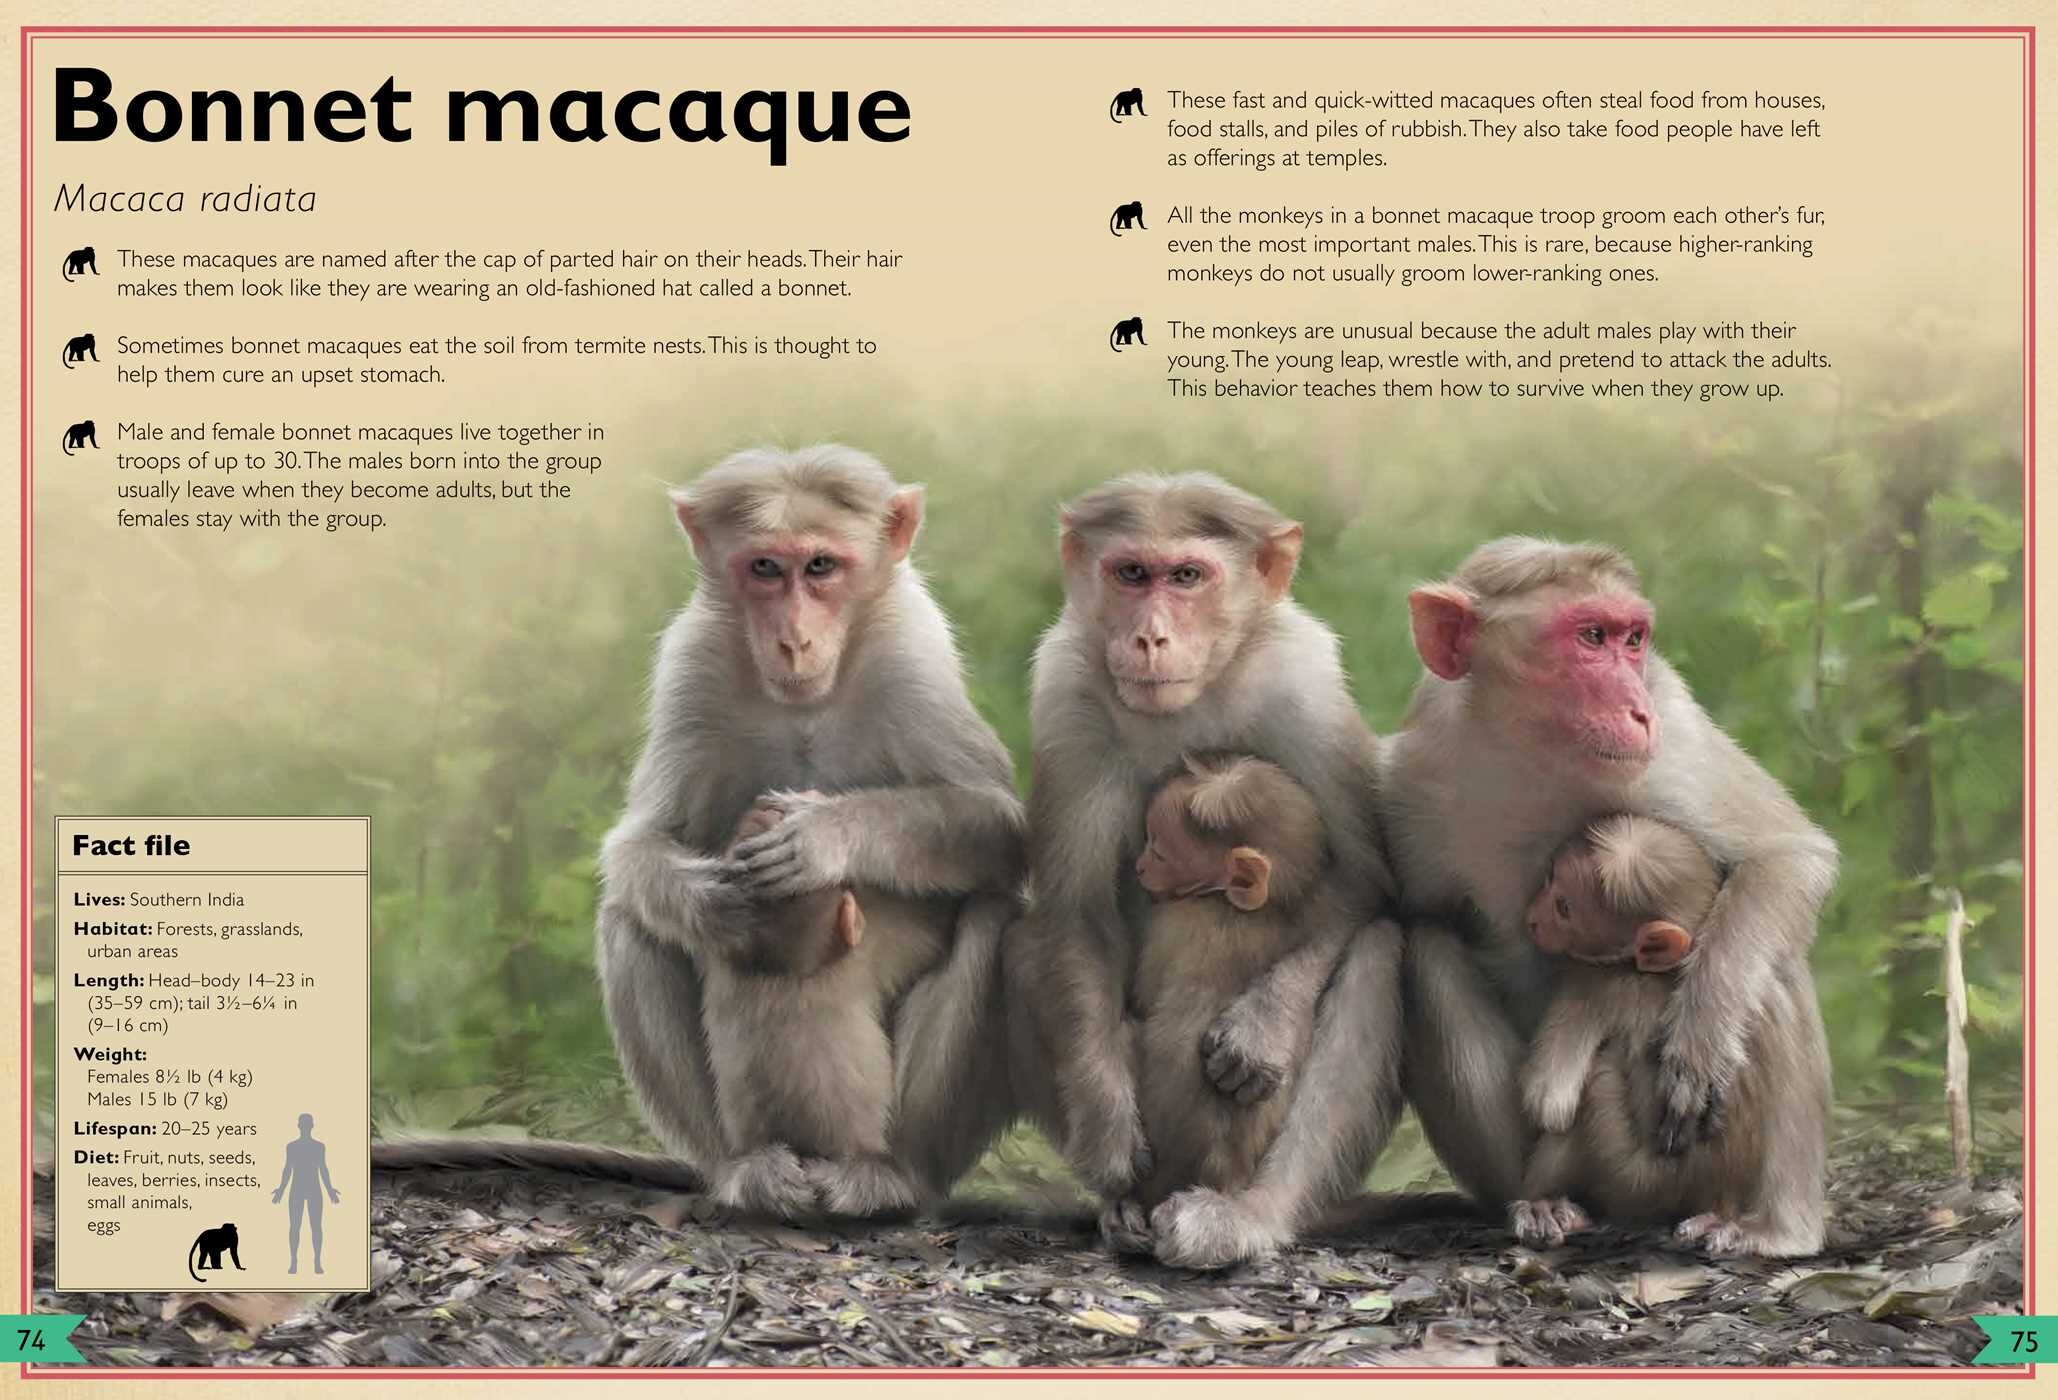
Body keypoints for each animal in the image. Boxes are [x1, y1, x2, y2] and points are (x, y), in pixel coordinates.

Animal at [1380, 535, 1836, 1258]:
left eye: (1634, 639)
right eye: (1591, 637)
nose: (1635, 709)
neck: (1533, 759)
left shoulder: (1674, 736)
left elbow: (1786, 856)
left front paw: (1698, 1043)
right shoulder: (1410, 775)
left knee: (1773, 964)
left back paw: (1778, 1228)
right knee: (1426, 950)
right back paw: (1540, 1201)